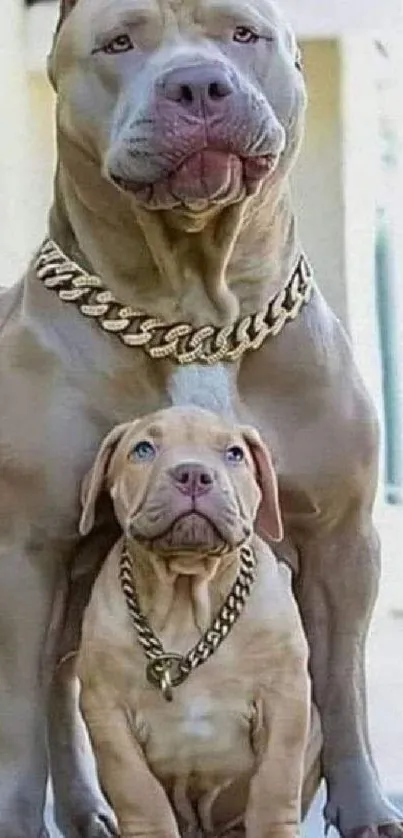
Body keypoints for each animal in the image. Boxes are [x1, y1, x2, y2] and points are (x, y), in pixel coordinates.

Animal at [76, 406, 312, 838]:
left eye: (235, 454)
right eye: (143, 449)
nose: (193, 474)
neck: (186, 601)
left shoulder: (285, 696)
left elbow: (275, 785)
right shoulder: (105, 710)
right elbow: (140, 794)